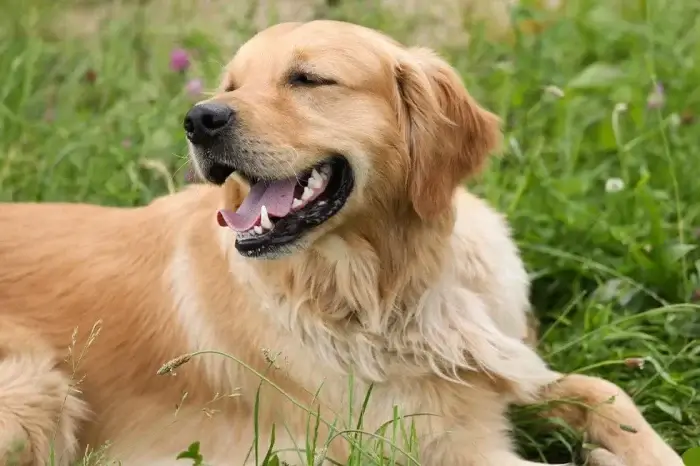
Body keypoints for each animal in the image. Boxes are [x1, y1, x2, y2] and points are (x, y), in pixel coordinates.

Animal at [0, 19, 684, 466]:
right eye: (230, 83)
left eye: (308, 79)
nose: (199, 118)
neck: (395, 282)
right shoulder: (434, 447)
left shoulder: (506, 362)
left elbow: (606, 391)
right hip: (39, 389)